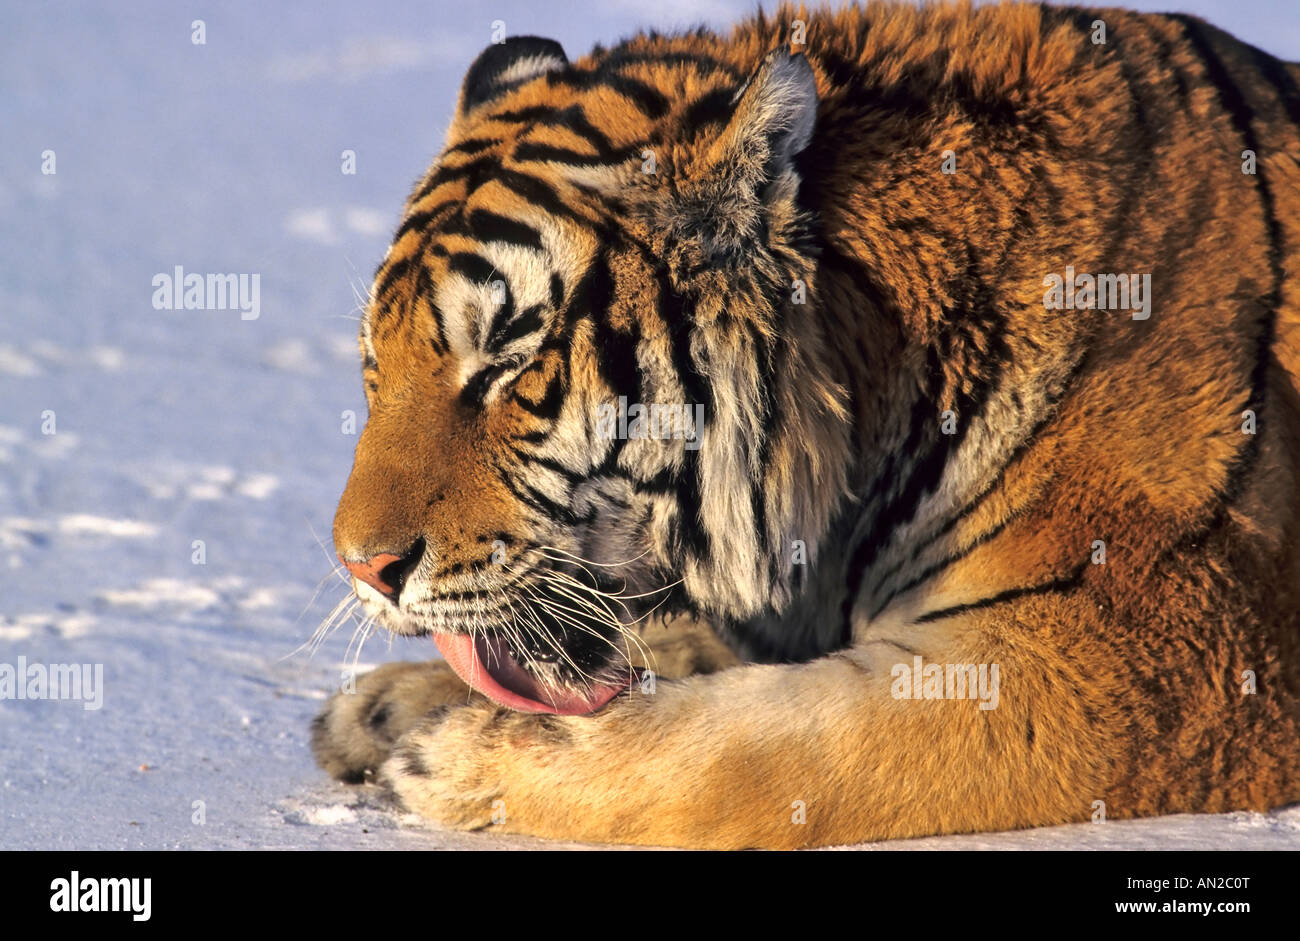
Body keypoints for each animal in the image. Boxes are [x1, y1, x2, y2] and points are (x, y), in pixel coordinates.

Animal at [309, 0, 1300, 847]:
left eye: (508, 362)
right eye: (376, 364)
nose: (364, 569)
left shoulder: (1124, 659)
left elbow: (754, 746)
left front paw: (456, 755)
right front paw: (387, 706)